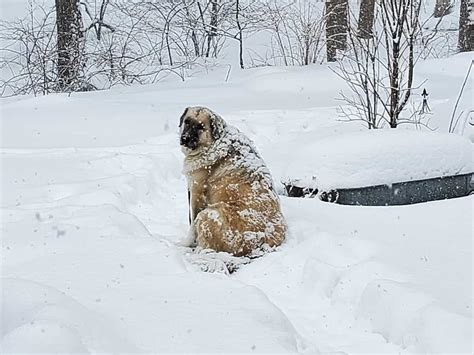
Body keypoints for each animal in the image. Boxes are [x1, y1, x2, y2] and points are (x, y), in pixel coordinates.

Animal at [181, 107, 286, 258]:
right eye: (187, 122)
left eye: (200, 127)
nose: (185, 138)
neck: (213, 143)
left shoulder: (197, 191)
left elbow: (192, 223)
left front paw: (186, 243)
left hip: (209, 213)